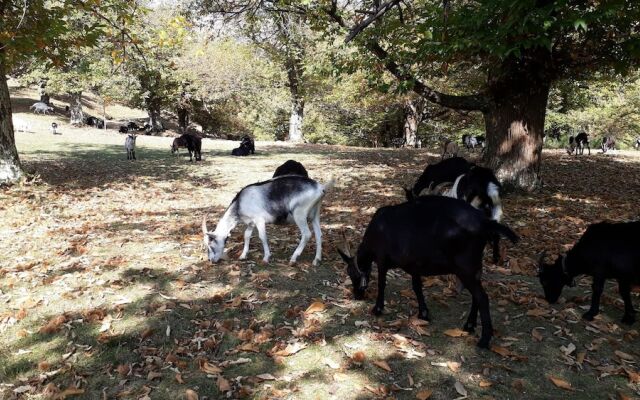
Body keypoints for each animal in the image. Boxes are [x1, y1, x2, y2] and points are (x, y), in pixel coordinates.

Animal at [202, 175, 336, 266]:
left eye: (211, 245)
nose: (211, 260)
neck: (240, 203)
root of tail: (320, 188)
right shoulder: (251, 223)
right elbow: (246, 235)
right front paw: (243, 255)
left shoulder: (259, 220)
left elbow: (262, 236)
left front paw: (266, 257)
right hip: (315, 214)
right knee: (319, 234)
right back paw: (316, 259)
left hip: (300, 214)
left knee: (307, 234)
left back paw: (293, 258)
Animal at [338, 195, 516, 348]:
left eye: (352, 274)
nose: (357, 295)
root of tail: (484, 222)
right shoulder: (414, 265)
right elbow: (417, 287)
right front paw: (423, 313)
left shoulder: (382, 259)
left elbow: (382, 283)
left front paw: (378, 309)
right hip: (475, 268)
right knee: (476, 297)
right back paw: (469, 325)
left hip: (465, 268)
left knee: (482, 297)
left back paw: (484, 340)